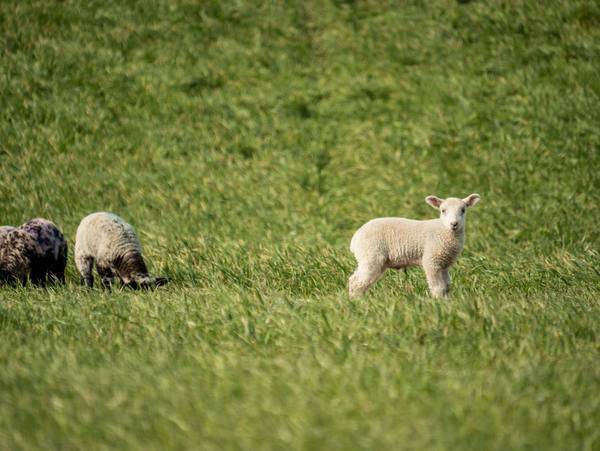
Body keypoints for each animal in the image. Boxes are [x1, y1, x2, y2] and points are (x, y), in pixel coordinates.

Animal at [346, 192, 482, 298]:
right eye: (443, 211)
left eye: (463, 210)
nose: (454, 224)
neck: (443, 230)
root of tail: (355, 238)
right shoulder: (431, 261)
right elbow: (438, 288)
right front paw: (438, 303)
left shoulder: (444, 264)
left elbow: (447, 287)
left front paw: (448, 303)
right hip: (371, 255)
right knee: (357, 283)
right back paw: (356, 302)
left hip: (369, 259)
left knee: (355, 280)